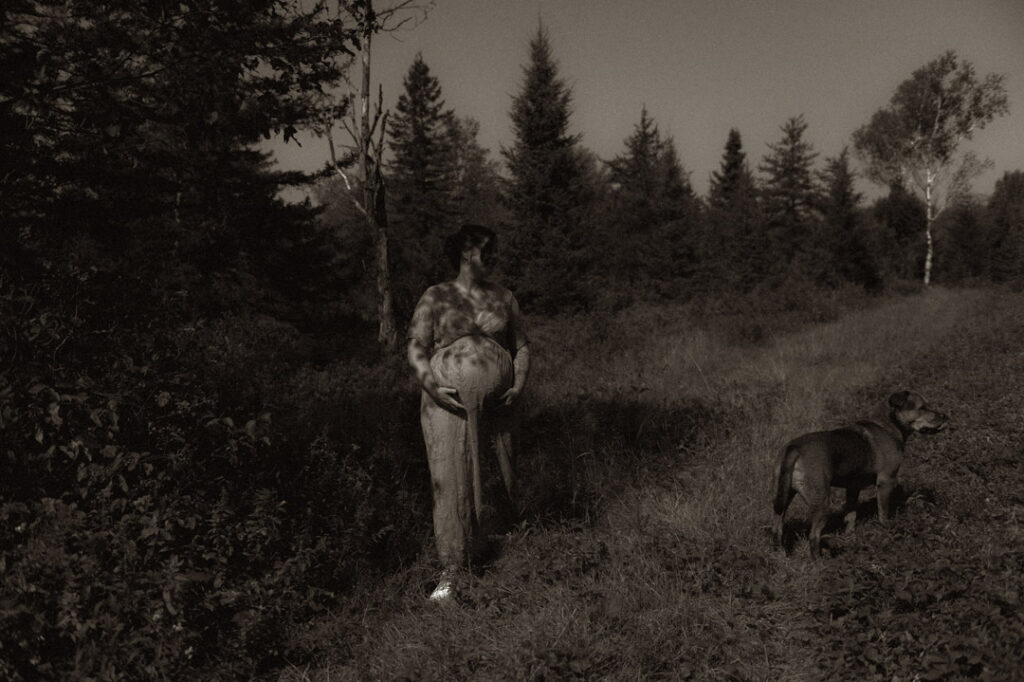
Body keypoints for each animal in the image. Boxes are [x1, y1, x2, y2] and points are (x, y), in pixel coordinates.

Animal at [770, 391, 946, 557]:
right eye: (922, 408)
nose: (944, 416)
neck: (890, 424)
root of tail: (794, 448)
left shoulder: (853, 488)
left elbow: (850, 516)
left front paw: (850, 538)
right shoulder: (886, 481)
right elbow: (883, 512)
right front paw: (887, 530)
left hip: (784, 496)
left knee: (777, 529)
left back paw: (780, 555)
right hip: (822, 500)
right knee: (814, 535)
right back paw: (818, 561)